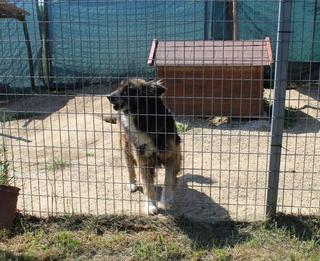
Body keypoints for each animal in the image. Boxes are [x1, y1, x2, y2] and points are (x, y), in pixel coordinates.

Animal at [107, 77, 181, 213]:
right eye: (119, 87)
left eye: (128, 90)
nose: (108, 96)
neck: (144, 120)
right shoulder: (143, 159)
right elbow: (148, 186)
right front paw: (150, 205)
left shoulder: (171, 155)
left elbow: (168, 180)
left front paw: (166, 201)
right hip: (126, 146)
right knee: (130, 167)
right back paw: (132, 184)